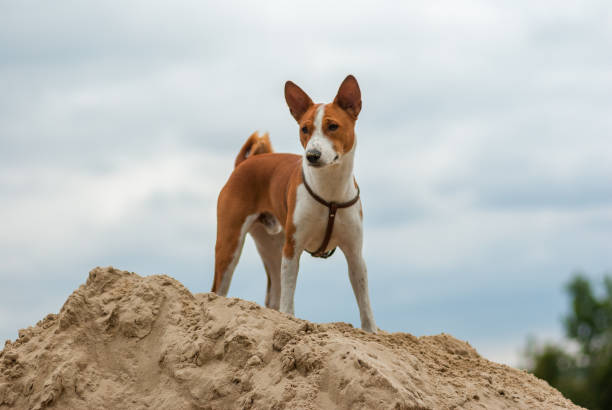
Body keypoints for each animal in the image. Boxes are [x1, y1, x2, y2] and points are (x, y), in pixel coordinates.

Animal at [212, 75, 378, 334]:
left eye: (333, 126)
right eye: (304, 129)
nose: (312, 155)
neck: (330, 192)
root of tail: (243, 164)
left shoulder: (354, 253)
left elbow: (364, 301)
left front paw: (371, 332)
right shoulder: (293, 248)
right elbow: (289, 298)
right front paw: (290, 320)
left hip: (273, 247)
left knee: (273, 297)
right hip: (231, 245)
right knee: (218, 289)